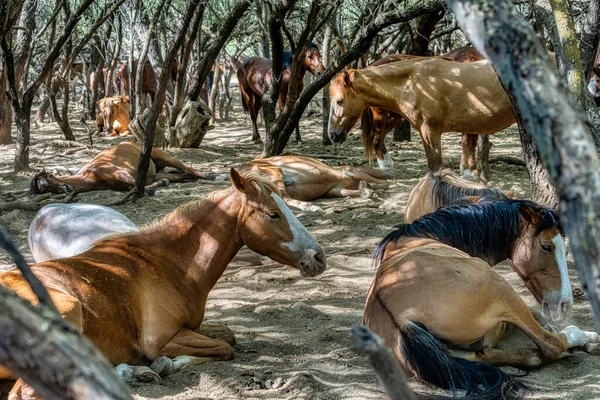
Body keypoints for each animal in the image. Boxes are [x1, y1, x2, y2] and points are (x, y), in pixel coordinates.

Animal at [1, 168, 328, 396]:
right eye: (273, 214)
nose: (319, 257)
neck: (164, 263)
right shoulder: (162, 340)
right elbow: (224, 349)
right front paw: (166, 364)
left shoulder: (190, 327)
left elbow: (228, 337)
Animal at [28, 142, 220, 195]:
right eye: (43, 189)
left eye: (50, 177)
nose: (64, 188)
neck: (92, 175)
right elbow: (132, 187)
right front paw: (159, 187)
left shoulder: (122, 173)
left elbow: (136, 185)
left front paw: (156, 191)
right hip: (159, 172)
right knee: (184, 175)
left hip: (166, 157)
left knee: (189, 169)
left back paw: (218, 177)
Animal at [246, 155, 392, 212]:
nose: (389, 171)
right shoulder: (349, 171)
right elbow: (384, 183)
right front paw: (372, 188)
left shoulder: (335, 190)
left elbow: (351, 191)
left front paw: (366, 190)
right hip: (275, 173)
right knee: (284, 198)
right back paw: (312, 207)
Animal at [364, 198, 596, 398]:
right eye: (547, 246)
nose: (564, 303)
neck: (420, 238)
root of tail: (403, 321)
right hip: (503, 288)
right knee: (550, 345)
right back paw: (582, 337)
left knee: (522, 356)